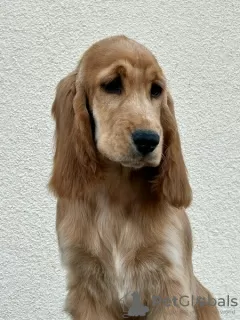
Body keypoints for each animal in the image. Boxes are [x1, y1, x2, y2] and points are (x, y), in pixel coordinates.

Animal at [49, 35, 220, 320]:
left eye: (156, 90)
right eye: (112, 85)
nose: (149, 140)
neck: (116, 193)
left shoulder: (170, 286)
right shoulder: (86, 285)